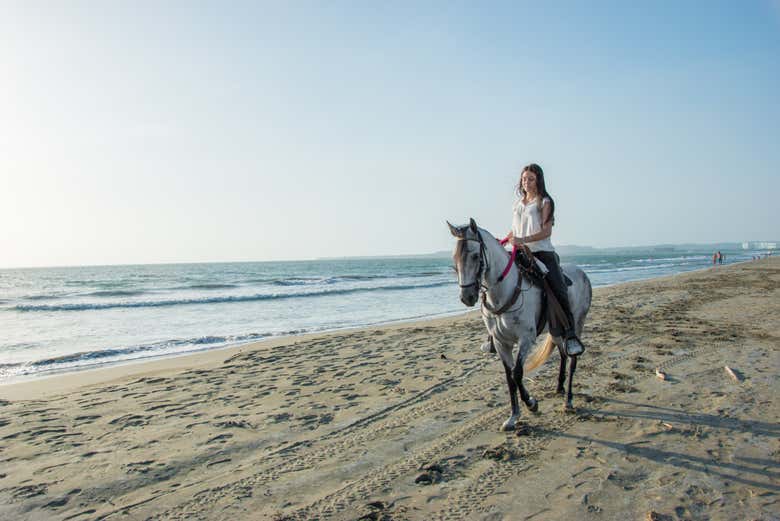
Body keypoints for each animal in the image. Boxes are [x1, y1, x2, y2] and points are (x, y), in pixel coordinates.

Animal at [450, 217, 592, 428]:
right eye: (455, 258)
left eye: (475, 256)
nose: (466, 297)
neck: (504, 291)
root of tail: (582, 272)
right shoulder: (501, 342)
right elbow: (509, 377)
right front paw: (513, 416)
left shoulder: (526, 338)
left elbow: (517, 373)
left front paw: (531, 404)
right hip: (556, 330)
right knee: (563, 354)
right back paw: (559, 388)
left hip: (576, 324)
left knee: (573, 358)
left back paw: (568, 400)